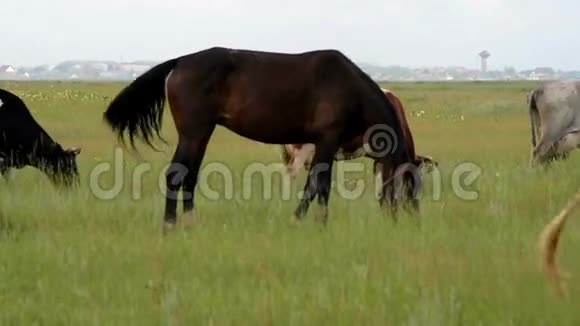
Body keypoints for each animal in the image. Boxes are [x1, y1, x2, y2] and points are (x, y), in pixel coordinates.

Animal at [104, 46, 422, 232]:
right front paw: (305, 220)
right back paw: (170, 225)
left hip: (201, 133)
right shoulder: (327, 140)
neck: (348, 87)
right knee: (176, 174)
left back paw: (190, 222)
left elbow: (320, 185)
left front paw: (317, 221)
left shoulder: (326, 145)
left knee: (189, 175)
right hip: (194, 132)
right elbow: (316, 184)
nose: (409, 220)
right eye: (410, 185)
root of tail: (180, 62)